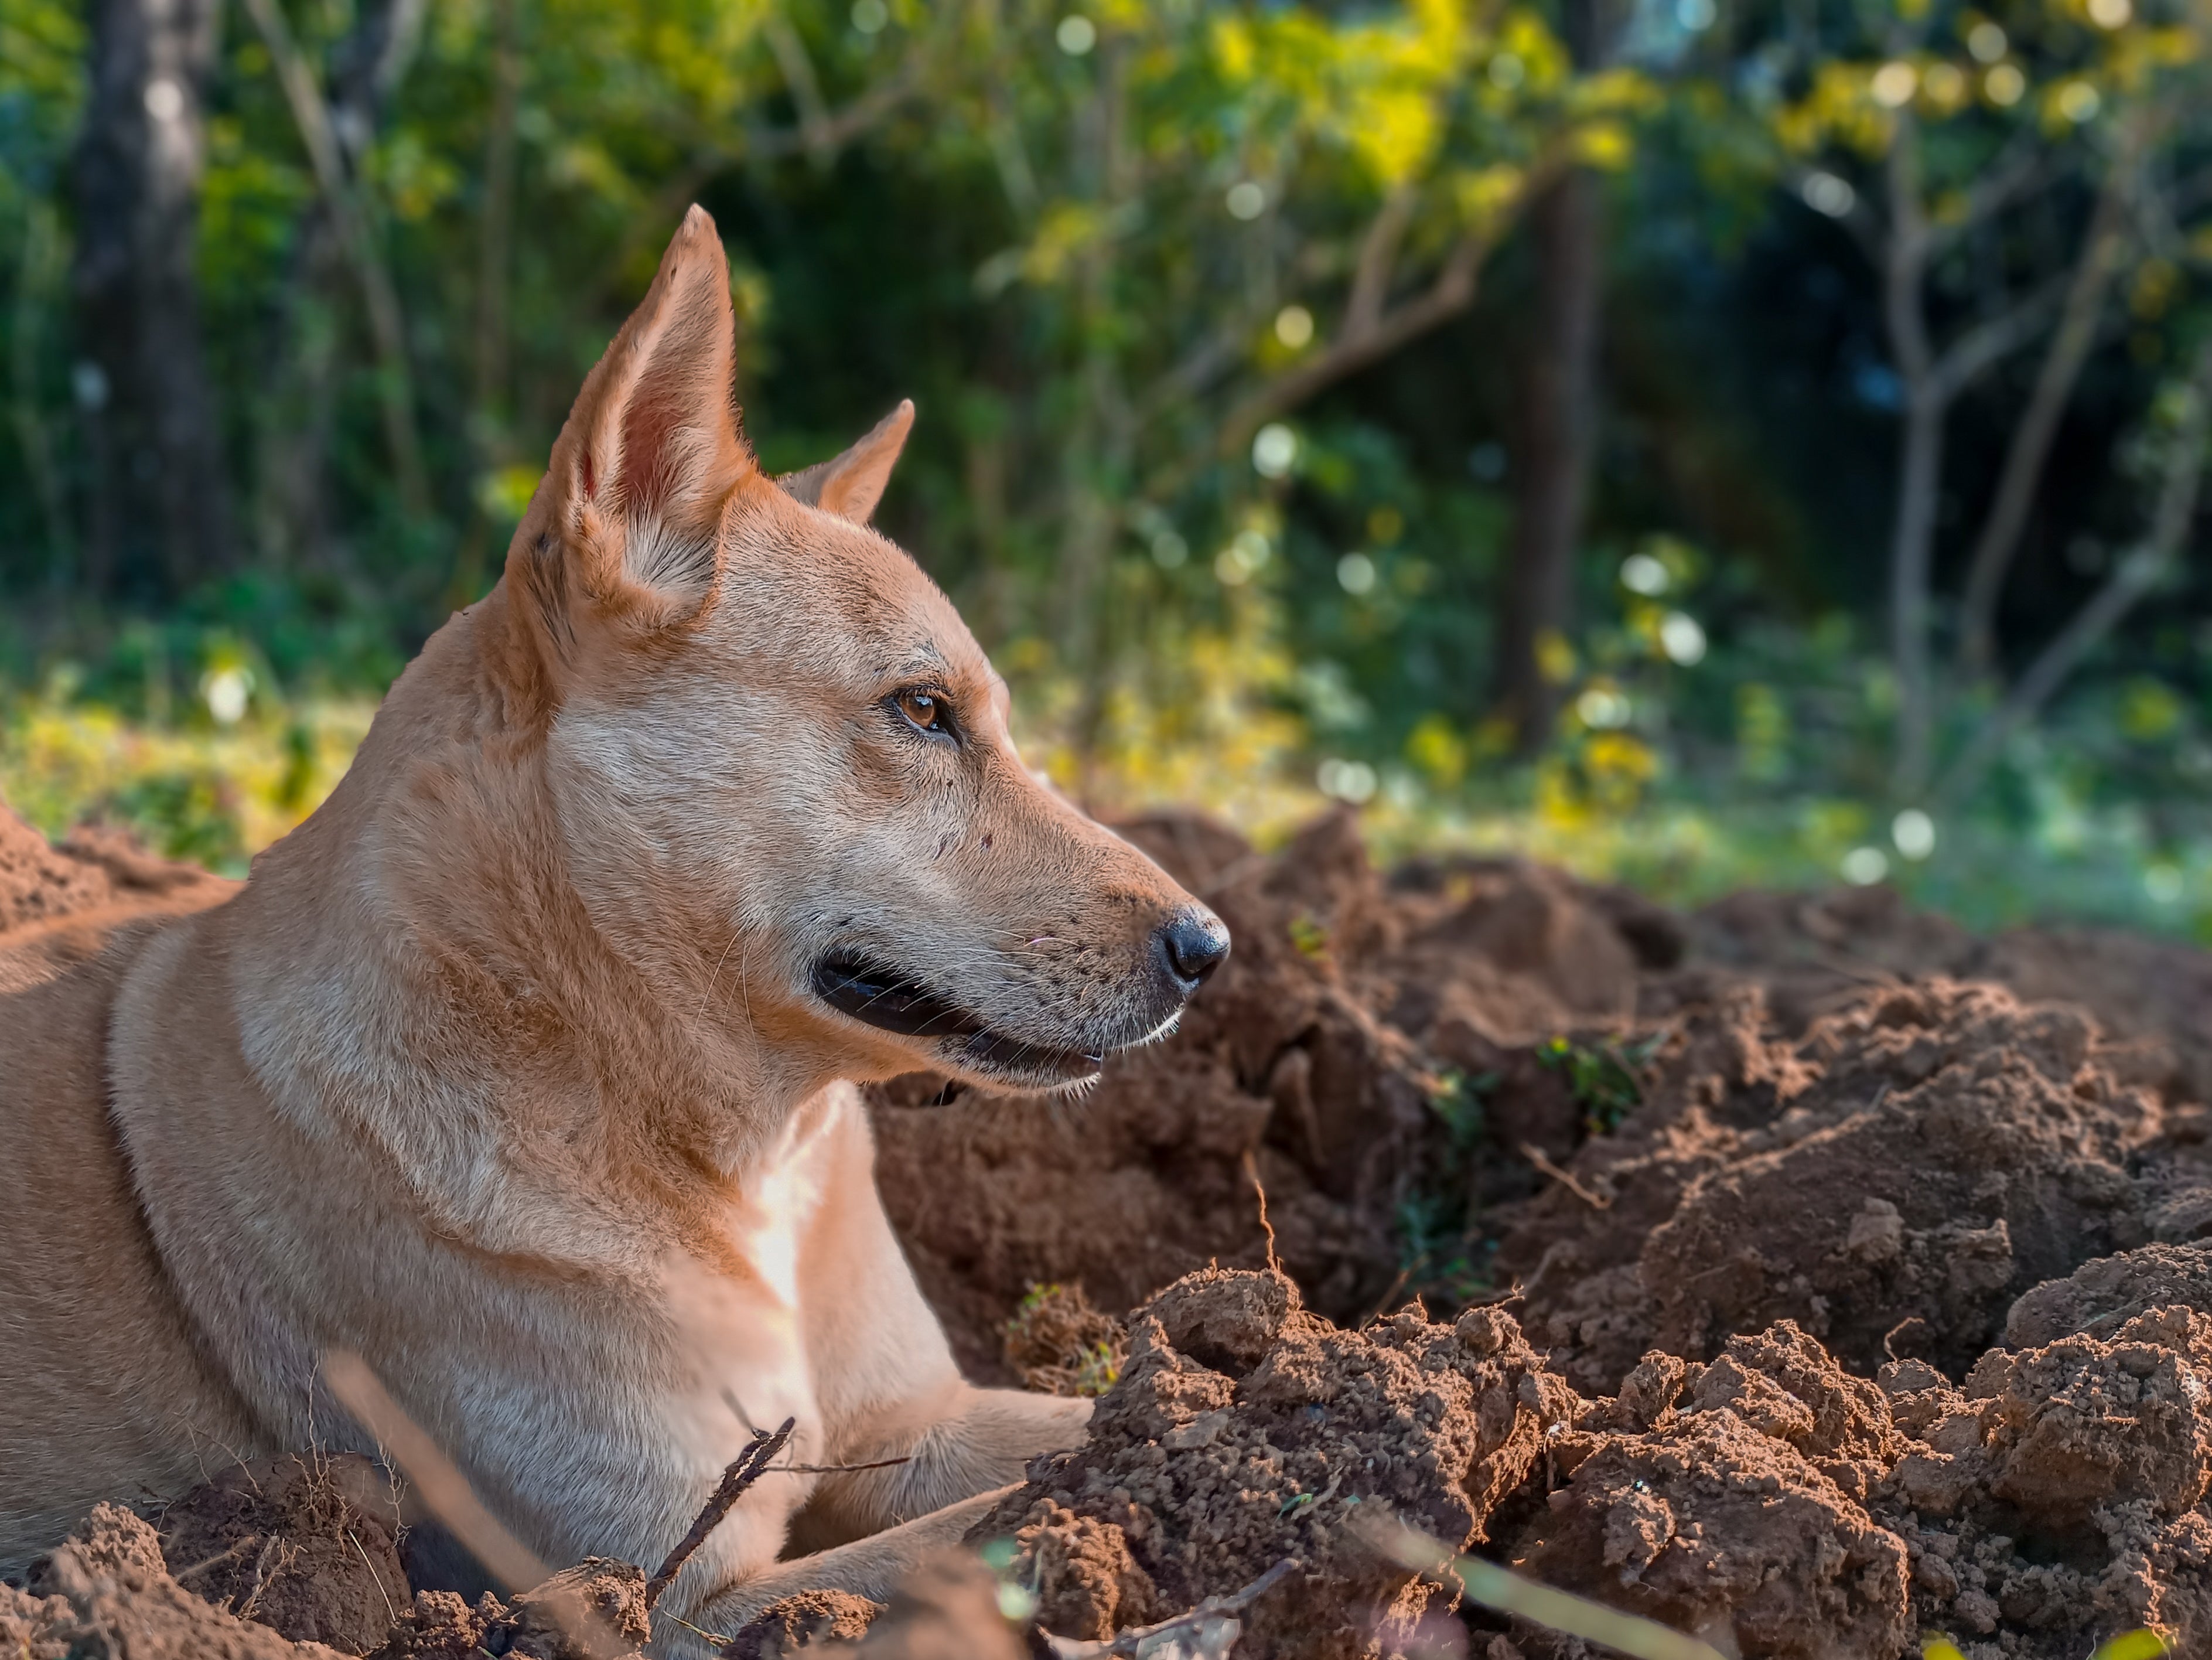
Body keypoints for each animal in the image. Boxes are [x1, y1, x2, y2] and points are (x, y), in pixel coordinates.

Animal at [0, 208, 1238, 1655]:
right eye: (922, 711)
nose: (1210, 950)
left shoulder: (917, 1428)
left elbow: (1094, 1430)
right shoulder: (666, 1598)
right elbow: (1003, 1523)